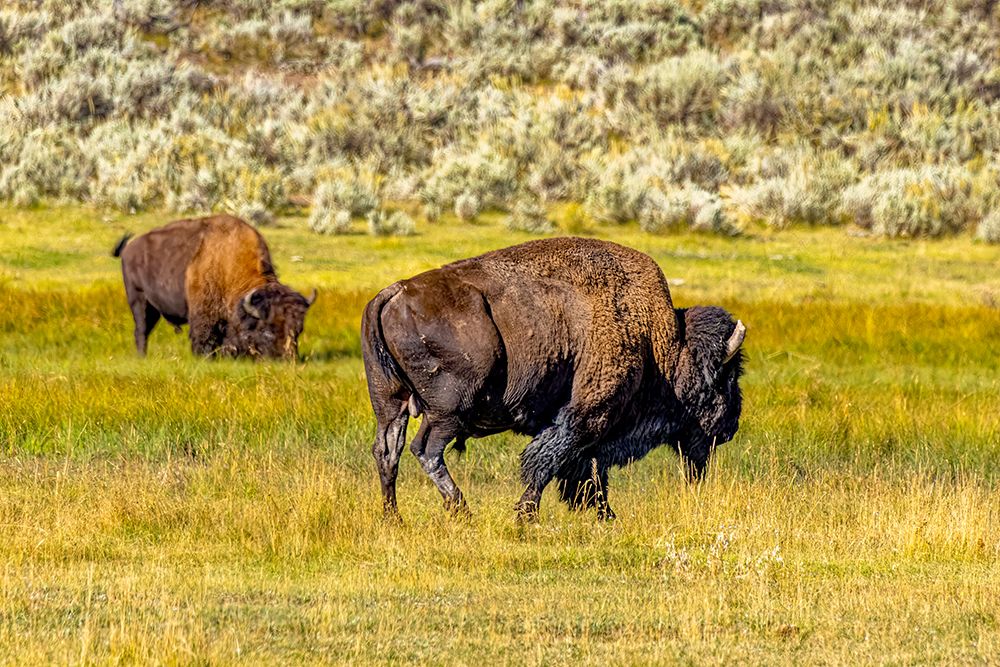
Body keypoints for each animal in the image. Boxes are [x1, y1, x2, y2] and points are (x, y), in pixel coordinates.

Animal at [113, 214, 315, 359]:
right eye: (267, 331)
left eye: (298, 330)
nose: (287, 359)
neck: (230, 264)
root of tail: (129, 248)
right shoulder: (204, 316)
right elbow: (204, 340)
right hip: (139, 300)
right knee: (141, 330)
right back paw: (142, 357)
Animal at [362, 237, 745, 522]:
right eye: (725, 377)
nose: (730, 427)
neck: (662, 342)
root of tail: (394, 292)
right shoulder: (588, 415)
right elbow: (550, 462)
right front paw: (525, 515)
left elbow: (586, 471)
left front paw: (604, 516)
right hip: (448, 411)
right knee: (425, 450)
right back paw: (462, 511)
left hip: (391, 404)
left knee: (388, 451)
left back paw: (394, 518)